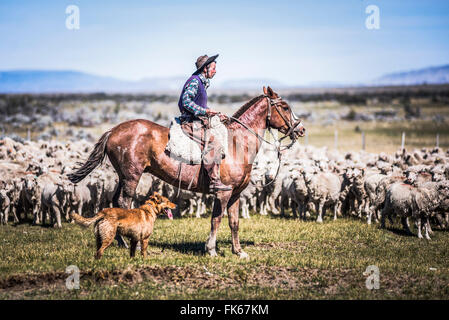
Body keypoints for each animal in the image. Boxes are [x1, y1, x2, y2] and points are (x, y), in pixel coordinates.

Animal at [68, 86, 304, 258]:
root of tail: (114, 130)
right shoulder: (223, 193)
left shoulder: (235, 194)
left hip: (122, 177)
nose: (300, 129)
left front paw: (238, 251)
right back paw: (125, 243)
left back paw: (120, 241)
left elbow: (234, 223)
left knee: (116, 201)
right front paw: (211, 250)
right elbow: (216, 220)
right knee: (124, 202)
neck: (237, 143)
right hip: (131, 176)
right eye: (284, 107)